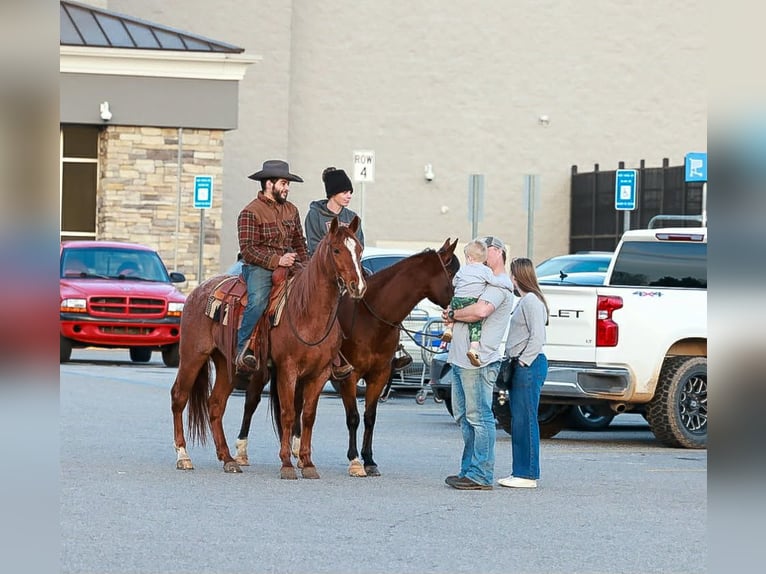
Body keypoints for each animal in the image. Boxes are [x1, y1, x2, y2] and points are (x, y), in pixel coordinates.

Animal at [170, 216, 366, 477]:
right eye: (336, 250)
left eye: (360, 250)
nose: (358, 287)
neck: (308, 312)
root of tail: (197, 291)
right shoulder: (287, 370)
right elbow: (288, 413)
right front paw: (287, 464)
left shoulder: (320, 373)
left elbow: (308, 416)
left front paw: (307, 463)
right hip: (193, 355)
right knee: (179, 396)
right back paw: (183, 456)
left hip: (227, 364)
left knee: (215, 404)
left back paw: (228, 458)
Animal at [234, 238, 459, 477]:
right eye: (453, 272)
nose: (455, 307)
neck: (370, 318)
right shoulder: (349, 377)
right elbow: (353, 417)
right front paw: (355, 460)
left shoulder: (379, 375)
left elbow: (369, 417)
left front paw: (369, 460)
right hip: (263, 370)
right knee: (251, 402)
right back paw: (242, 452)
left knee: (296, 406)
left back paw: (297, 451)